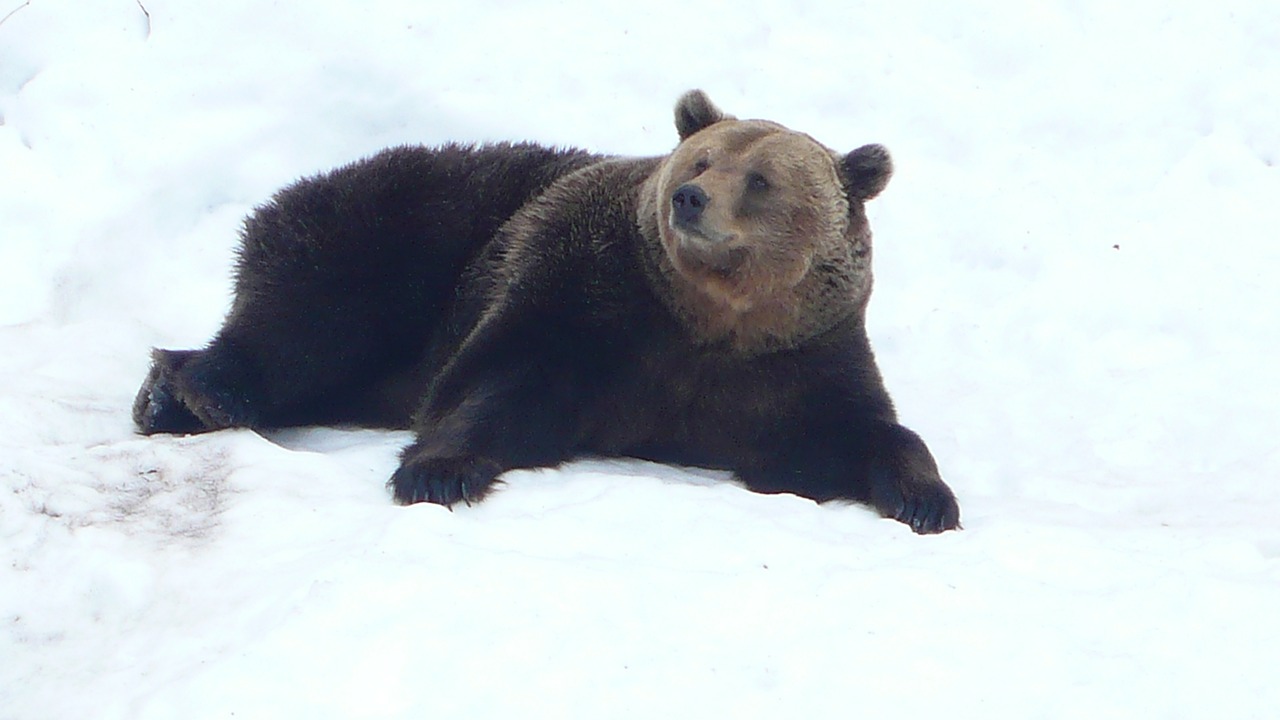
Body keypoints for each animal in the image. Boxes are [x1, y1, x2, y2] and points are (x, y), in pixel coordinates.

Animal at [135, 89, 962, 532]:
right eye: (701, 158)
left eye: (759, 180)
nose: (690, 198)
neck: (708, 317)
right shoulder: (584, 299)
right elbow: (496, 380)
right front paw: (438, 470)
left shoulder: (791, 362)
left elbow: (850, 434)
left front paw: (927, 498)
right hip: (401, 225)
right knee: (307, 319)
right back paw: (197, 393)